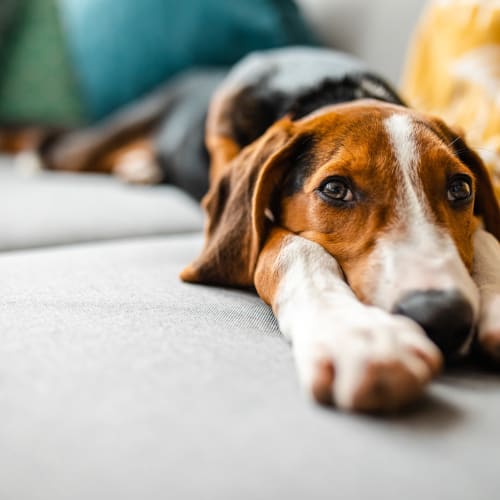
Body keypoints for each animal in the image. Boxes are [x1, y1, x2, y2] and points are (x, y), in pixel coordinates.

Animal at [180, 47, 500, 412]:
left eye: (460, 188)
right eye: (335, 189)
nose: (442, 314)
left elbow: (485, 236)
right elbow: (293, 248)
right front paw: (357, 333)